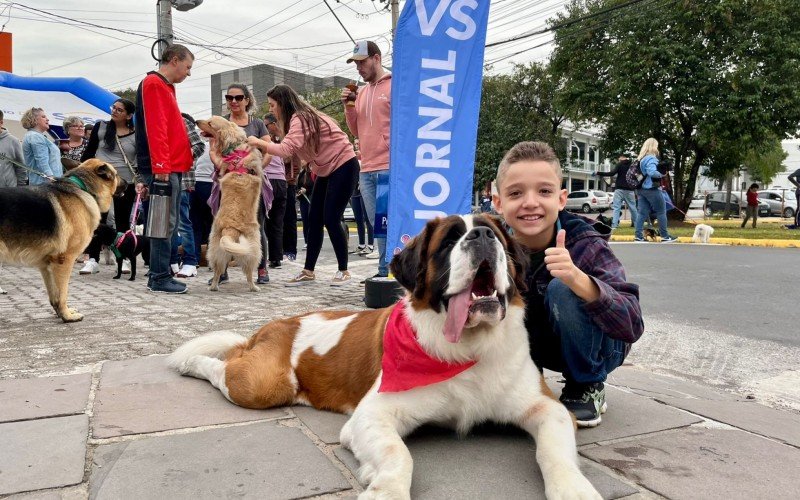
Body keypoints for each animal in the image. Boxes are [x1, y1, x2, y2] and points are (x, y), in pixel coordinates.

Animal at [0, 161, 122, 324]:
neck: (82, 187)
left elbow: (54, 296)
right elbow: (62, 294)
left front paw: (60, 313)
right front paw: (67, 316)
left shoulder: (46, 266)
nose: (130, 183)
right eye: (116, 174)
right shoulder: (65, 261)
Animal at [169, 215, 600, 500]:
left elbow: (555, 449)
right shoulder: (373, 414)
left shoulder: (547, 407)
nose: (482, 235)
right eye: (449, 242)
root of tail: (272, 325)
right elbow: (399, 454)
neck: (468, 346)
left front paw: (574, 489)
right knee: (222, 367)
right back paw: (189, 363)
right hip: (267, 383)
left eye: (495, 234)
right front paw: (387, 491)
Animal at [196, 115, 262, 292]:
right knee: (248, 272)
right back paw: (253, 287)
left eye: (210, 123)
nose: (197, 122)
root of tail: (230, 228)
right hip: (252, 247)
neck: (235, 149)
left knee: (219, 270)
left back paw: (215, 286)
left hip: (217, 249)